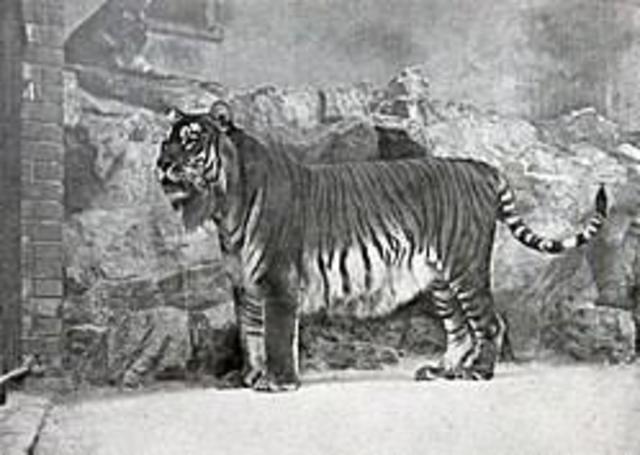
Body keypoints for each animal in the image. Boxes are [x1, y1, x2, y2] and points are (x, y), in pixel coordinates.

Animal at [156, 100, 608, 392]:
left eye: (192, 140)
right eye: (166, 142)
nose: (162, 164)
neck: (225, 205)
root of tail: (480, 167)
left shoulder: (277, 281)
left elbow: (277, 336)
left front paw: (277, 382)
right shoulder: (244, 284)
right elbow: (249, 335)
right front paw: (246, 378)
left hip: (465, 267)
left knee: (490, 323)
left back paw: (478, 372)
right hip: (440, 279)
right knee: (459, 329)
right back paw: (441, 370)